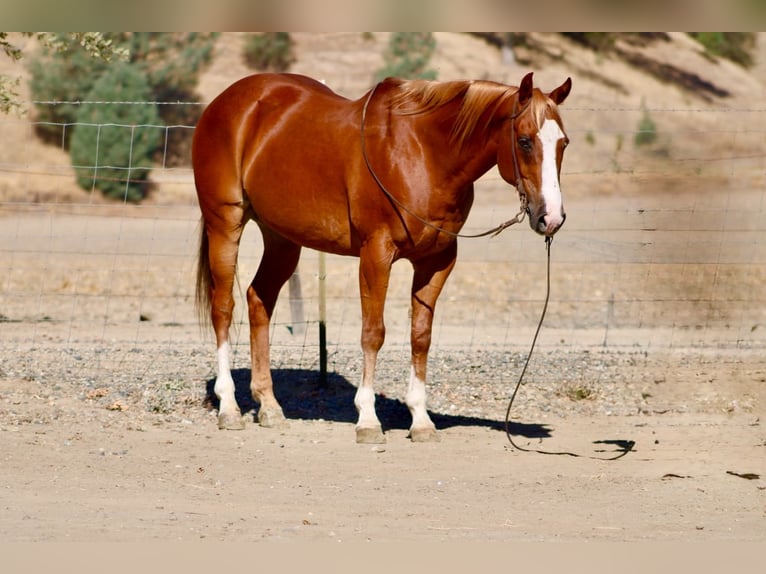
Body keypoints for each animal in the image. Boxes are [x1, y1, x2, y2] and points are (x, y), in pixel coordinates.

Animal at [192, 71, 571, 443]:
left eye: (563, 143)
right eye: (525, 141)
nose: (551, 218)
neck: (424, 154)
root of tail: (224, 103)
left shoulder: (437, 261)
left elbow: (421, 335)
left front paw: (420, 420)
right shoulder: (376, 254)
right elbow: (373, 333)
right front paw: (368, 420)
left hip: (282, 240)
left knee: (259, 301)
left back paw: (268, 405)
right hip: (225, 225)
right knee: (223, 308)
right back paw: (229, 408)